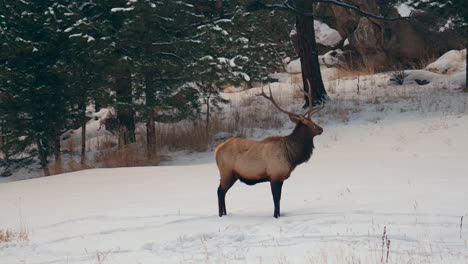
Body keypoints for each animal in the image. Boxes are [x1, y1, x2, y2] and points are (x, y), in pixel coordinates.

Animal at [215, 85, 322, 219]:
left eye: (313, 121)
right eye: (310, 124)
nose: (321, 129)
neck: (291, 156)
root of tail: (216, 150)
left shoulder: (281, 178)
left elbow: (279, 199)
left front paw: (279, 215)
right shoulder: (274, 175)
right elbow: (275, 198)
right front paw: (276, 216)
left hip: (233, 175)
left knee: (223, 192)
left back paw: (225, 213)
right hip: (226, 172)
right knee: (219, 191)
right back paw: (221, 215)